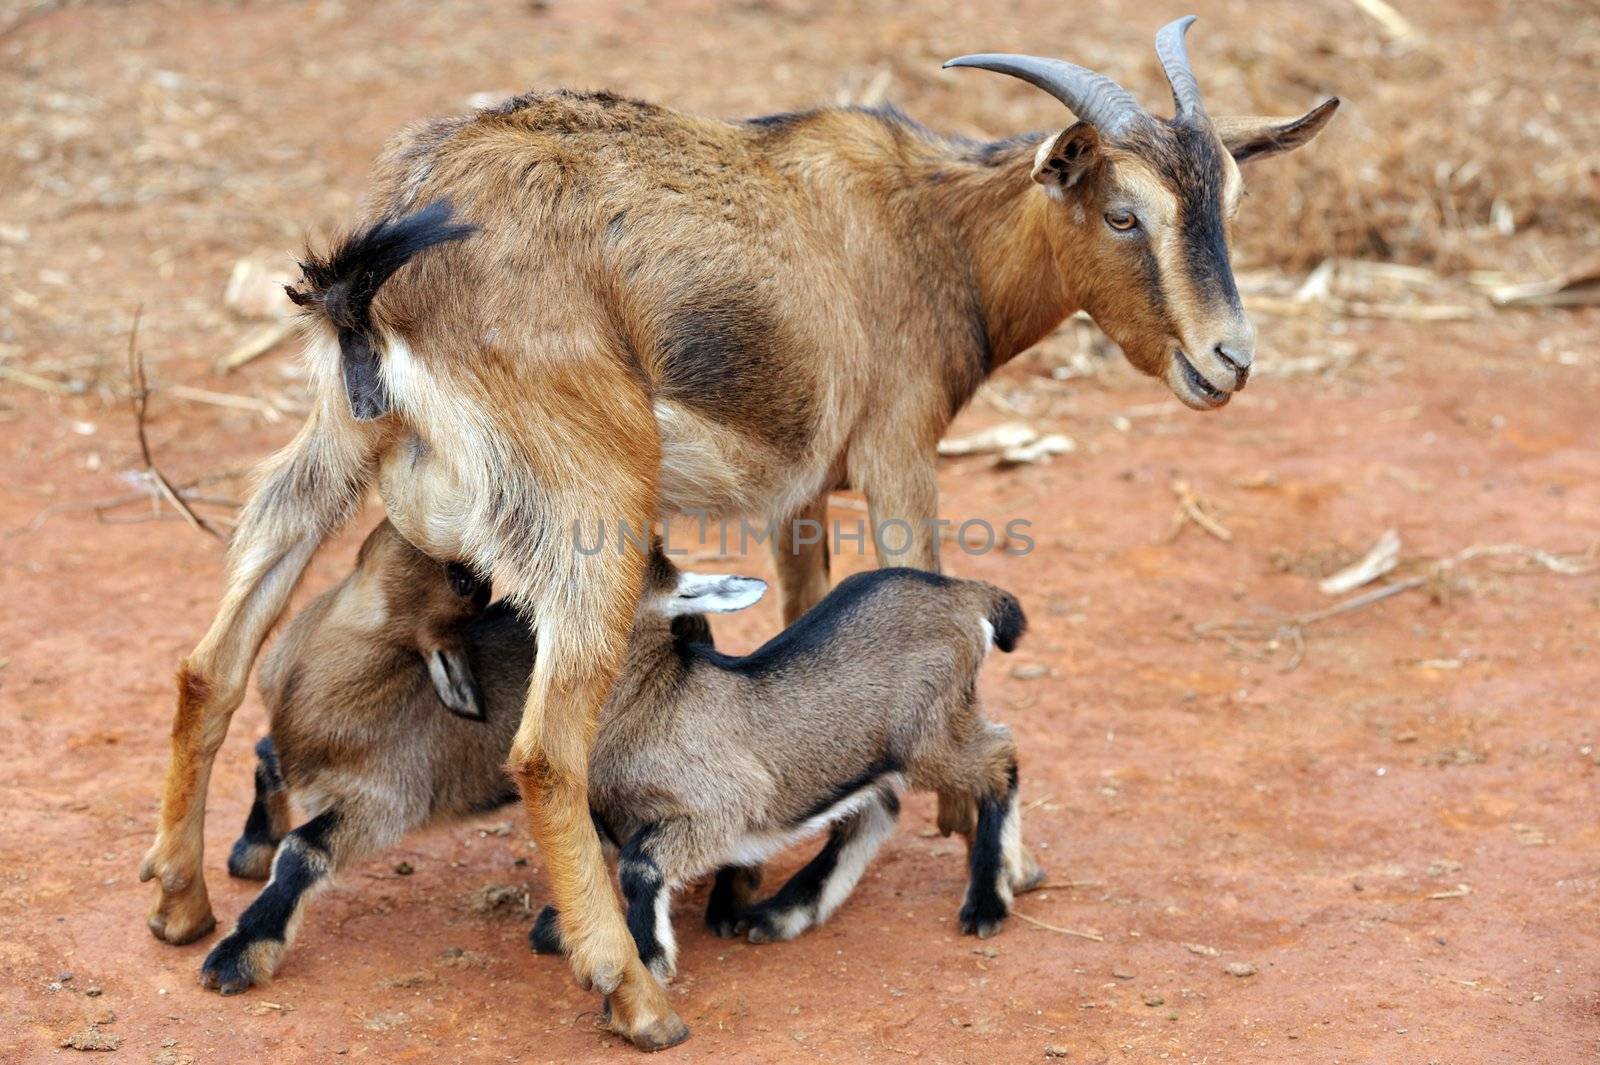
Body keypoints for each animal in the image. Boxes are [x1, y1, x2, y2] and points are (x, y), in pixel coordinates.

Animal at [140, 16, 1337, 1042]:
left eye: (1229, 195)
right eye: (1122, 211)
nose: (1227, 359)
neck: (929, 227)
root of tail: (381, 274)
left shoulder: (797, 492)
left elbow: (809, 621)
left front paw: (776, 870)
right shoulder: (900, 453)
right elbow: (923, 593)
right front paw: (986, 858)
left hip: (330, 456)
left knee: (211, 661)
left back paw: (184, 905)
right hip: (594, 510)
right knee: (544, 751)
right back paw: (631, 992)